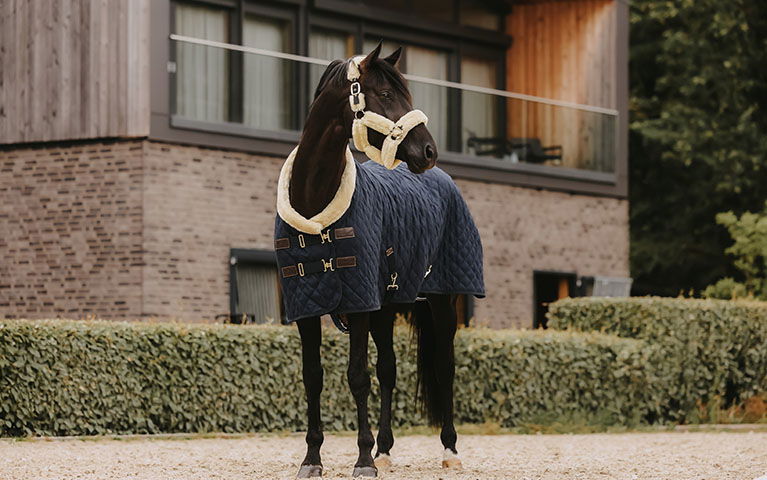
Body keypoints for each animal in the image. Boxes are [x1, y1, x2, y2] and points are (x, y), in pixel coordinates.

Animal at [272, 43, 484, 478]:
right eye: (385, 94)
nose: (429, 151)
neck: (314, 204)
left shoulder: (358, 303)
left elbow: (357, 376)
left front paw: (363, 459)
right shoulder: (307, 305)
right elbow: (313, 376)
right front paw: (312, 458)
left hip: (441, 300)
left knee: (444, 366)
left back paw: (449, 450)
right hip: (386, 306)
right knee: (389, 370)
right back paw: (386, 450)